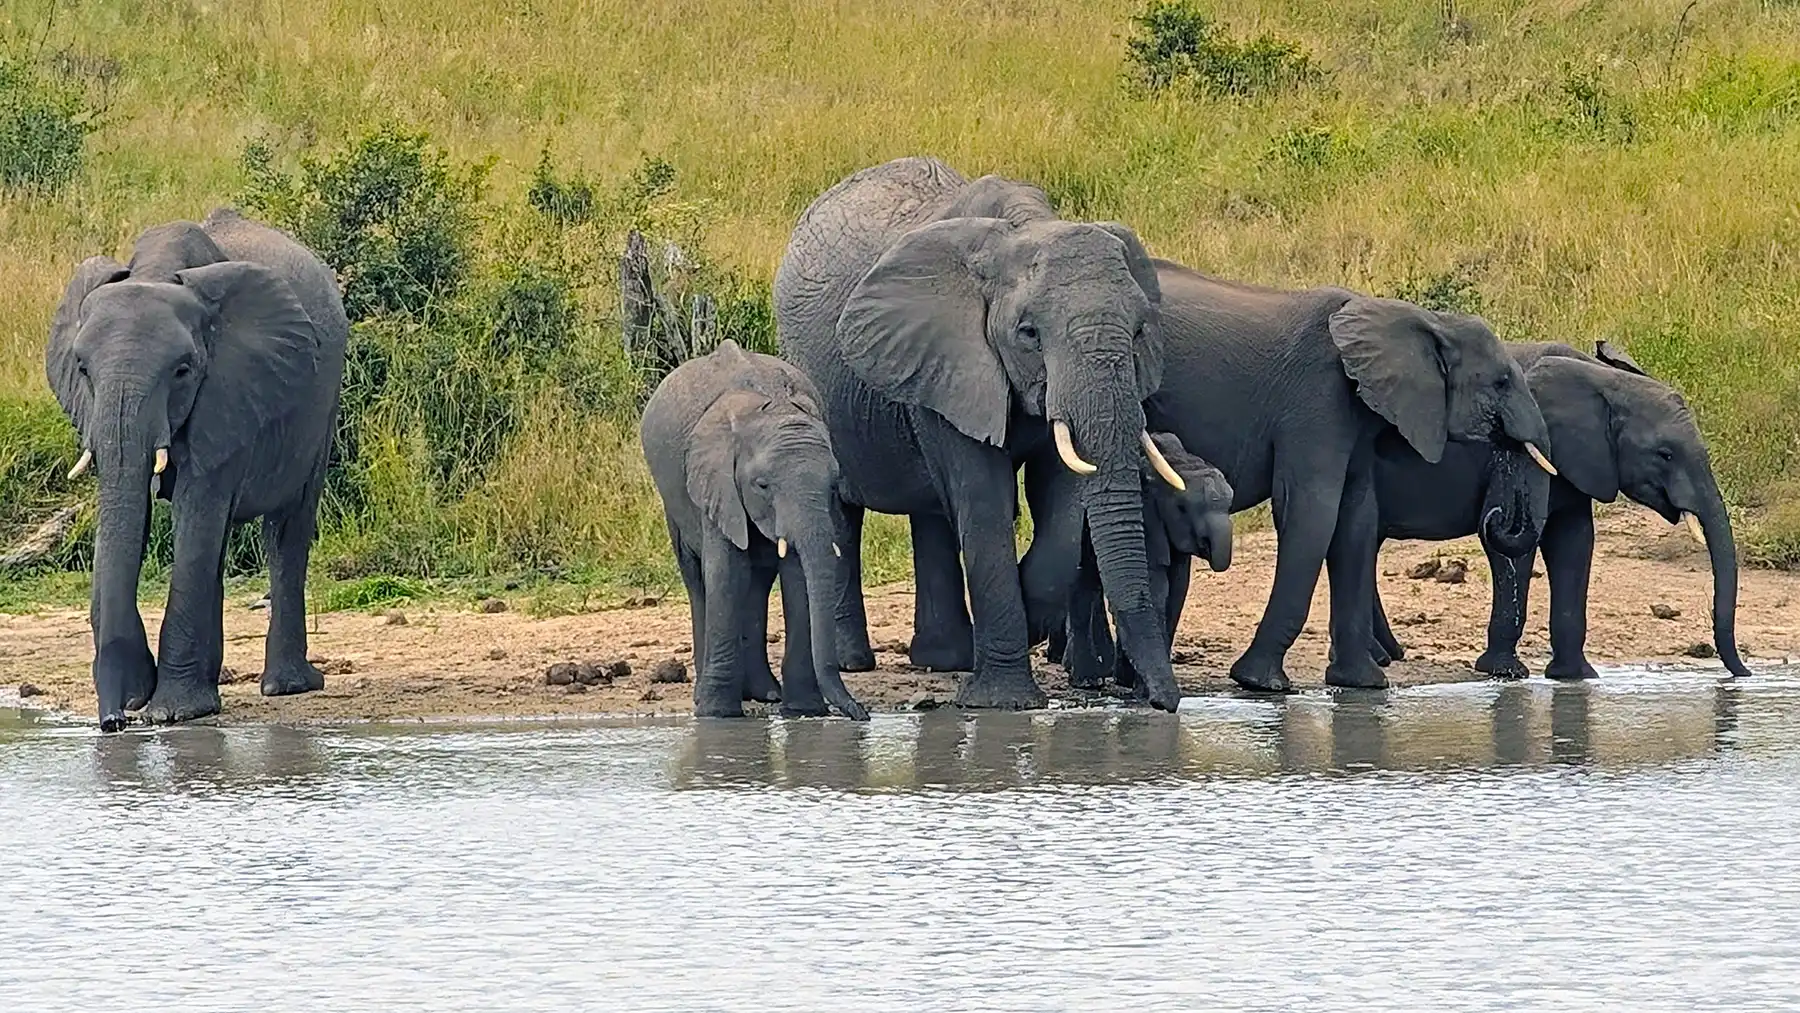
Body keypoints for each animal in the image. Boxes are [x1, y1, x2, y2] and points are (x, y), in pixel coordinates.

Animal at [45, 209, 348, 731]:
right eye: (82, 369)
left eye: (183, 370)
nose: (114, 721)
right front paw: (160, 704)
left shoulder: (229, 390)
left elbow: (198, 508)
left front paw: (173, 713)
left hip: (322, 408)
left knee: (286, 529)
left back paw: (288, 687)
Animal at [639, 339, 867, 720]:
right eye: (761, 485)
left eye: (834, 484)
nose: (860, 713)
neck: (769, 405)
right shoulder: (716, 482)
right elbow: (727, 573)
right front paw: (717, 714)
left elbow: (797, 575)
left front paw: (804, 710)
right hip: (672, 498)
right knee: (697, 578)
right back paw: (708, 695)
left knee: (758, 581)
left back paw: (766, 694)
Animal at [775, 156, 1186, 711]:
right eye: (1028, 334)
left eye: (1141, 330)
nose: (1164, 703)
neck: (1025, 229)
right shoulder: (948, 353)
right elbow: (983, 494)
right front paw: (1005, 703)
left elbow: (1060, 496)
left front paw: (1030, 621)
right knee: (844, 509)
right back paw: (855, 662)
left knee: (931, 513)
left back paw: (946, 658)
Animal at [1036, 431, 1235, 691]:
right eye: (1182, 508)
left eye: (1229, 504)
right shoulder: (1146, 517)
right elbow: (1155, 587)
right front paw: (1138, 689)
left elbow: (1177, 591)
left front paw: (1129, 683)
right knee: (1084, 587)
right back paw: (1088, 681)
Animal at [1368, 341, 1751, 681]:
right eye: (1665, 454)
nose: (1744, 673)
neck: (1604, 380)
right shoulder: (1517, 454)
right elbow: (1512, 540)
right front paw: (1506, 672)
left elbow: (1575, 544)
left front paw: (1576, 676)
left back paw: (1387, 655)